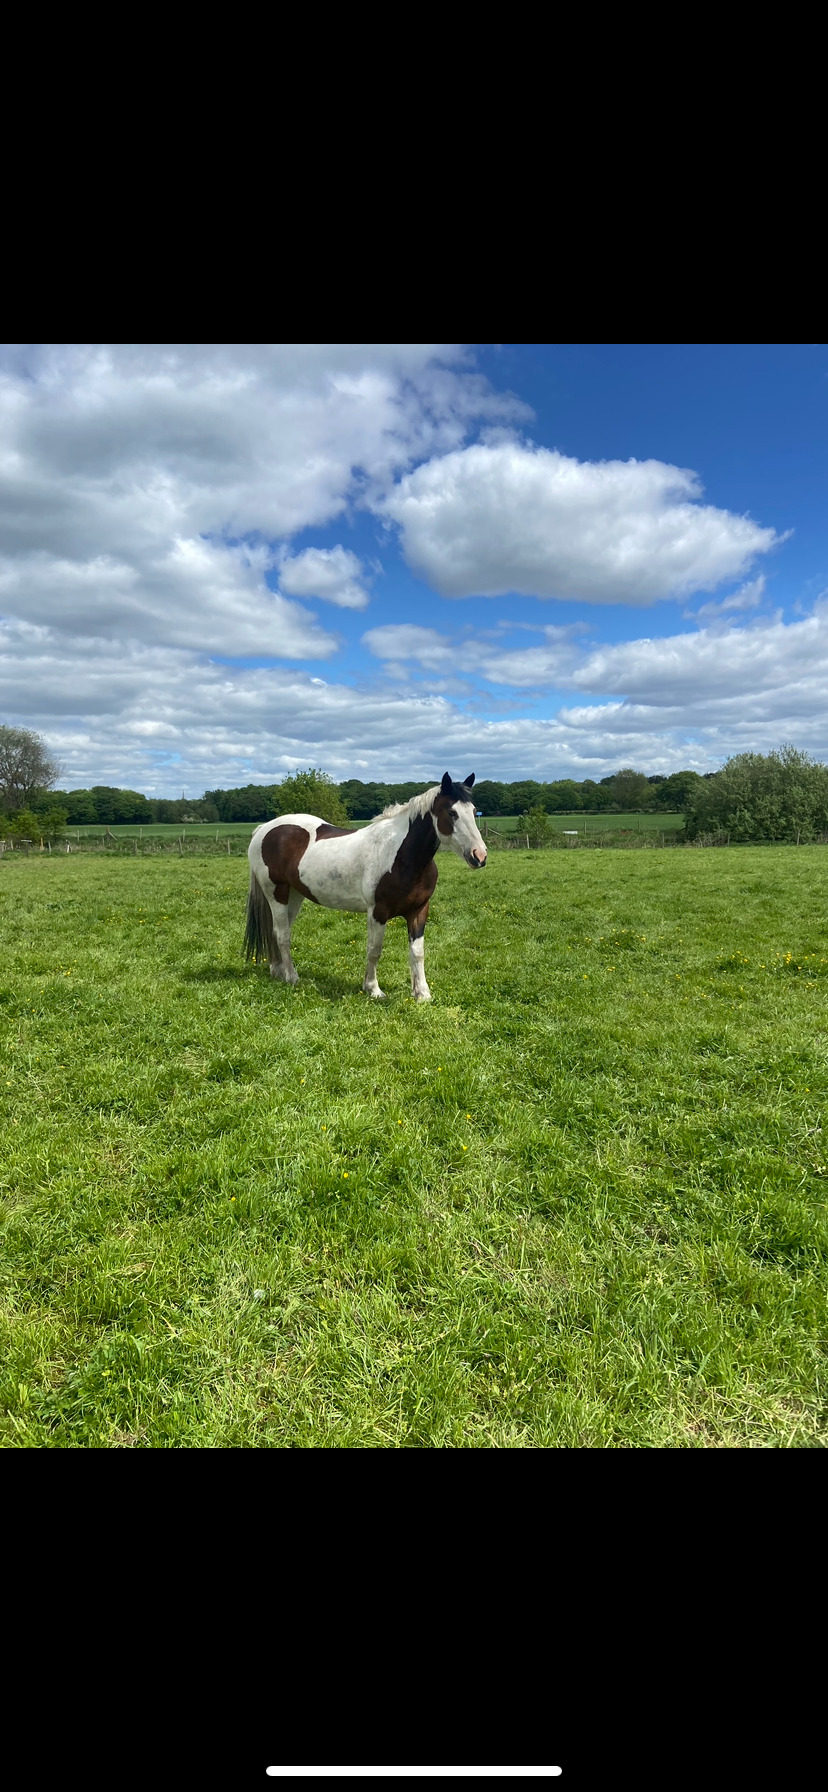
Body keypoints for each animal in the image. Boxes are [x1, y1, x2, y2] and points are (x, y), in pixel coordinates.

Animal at [244, 772, 487, 1001]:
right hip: (276, 893)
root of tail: (263, 829)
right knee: (282, 934)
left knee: (275, 931)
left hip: (294, 895)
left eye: (474, 811)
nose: (480, 856)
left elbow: (417, 952)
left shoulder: (418, 911)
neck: (401, 856)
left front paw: (422, 994)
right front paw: (373, 989)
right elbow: (374, 950)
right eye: (452, 812)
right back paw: (292, 977)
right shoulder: (377, 912)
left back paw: (278, 971)